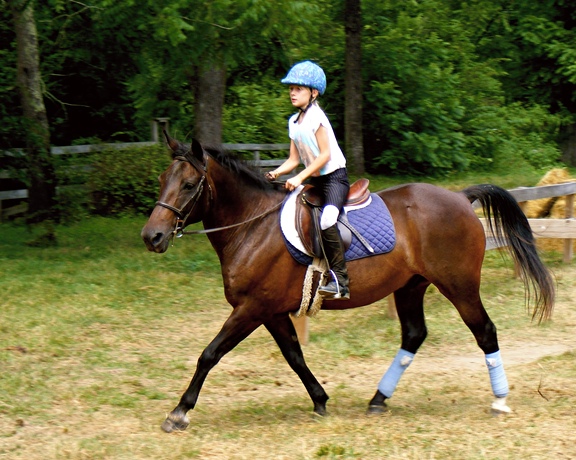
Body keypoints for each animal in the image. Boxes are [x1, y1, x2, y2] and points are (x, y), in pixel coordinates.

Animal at [140, 132, 552, 432]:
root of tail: (461, 198)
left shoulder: (251, 309)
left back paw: (499, 400)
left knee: (485, 331)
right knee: (414, 335)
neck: (252, 225)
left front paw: (179, 412)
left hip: (460, 285)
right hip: (411, 286)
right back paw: (378, 399)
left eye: (189, 185)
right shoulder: (270, 312)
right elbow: (294, 355)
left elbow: (210, 354)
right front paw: (320, 400)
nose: (152, 237)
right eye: (162, 180)